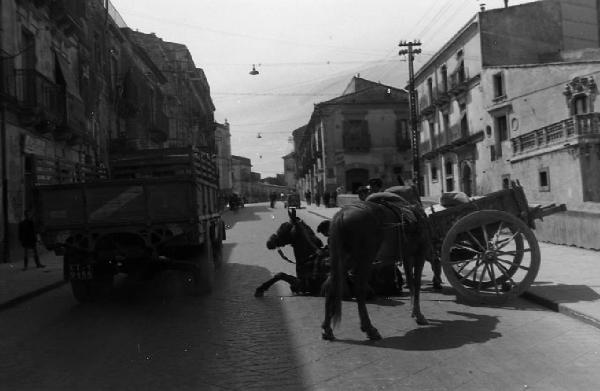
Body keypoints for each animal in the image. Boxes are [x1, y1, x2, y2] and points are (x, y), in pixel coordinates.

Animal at [324, 194, 432, 344]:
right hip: (364, 259)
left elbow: (411, 283)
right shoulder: (419, 254)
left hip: (345, 259)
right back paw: (369, 329)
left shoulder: (407, 256)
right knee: (359, 288)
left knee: (331, 285)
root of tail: (342, 214)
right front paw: (419, 315)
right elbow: (416, 284)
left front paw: (414, 312)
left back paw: (327, 329)